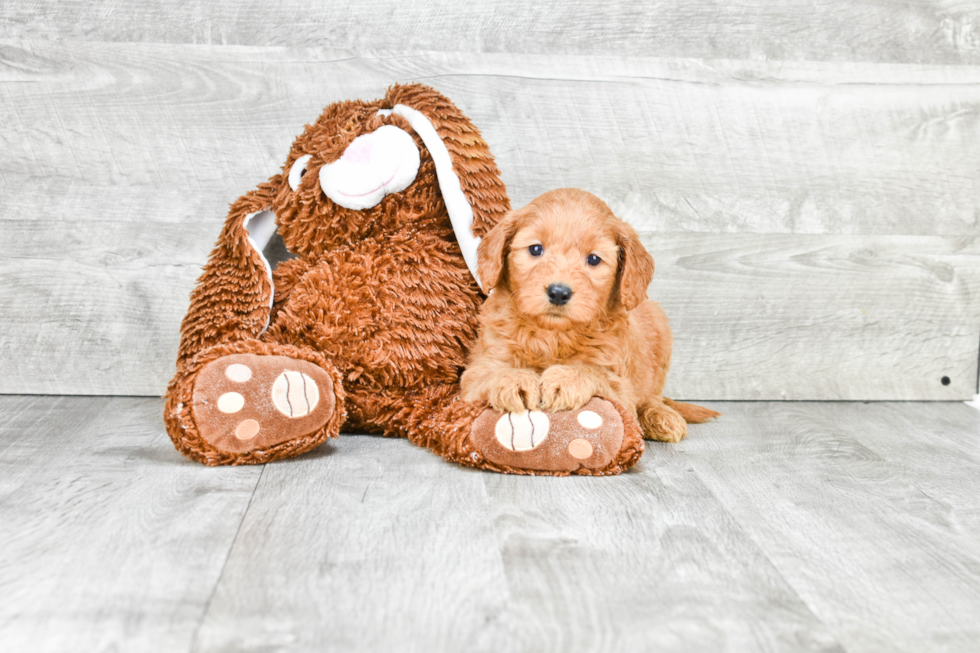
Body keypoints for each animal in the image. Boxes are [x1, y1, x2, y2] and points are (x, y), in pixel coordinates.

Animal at [464, 188, 716, 444]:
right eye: (535, 249)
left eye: (593, 259)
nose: (559, 292)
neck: (553, 335)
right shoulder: (478, 369)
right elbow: (487, 373)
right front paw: (513, 379)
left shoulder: (621, 388)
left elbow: (597, 373)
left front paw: (568, 378)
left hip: (659, 327)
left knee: (652, 396)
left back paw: (660, 416)